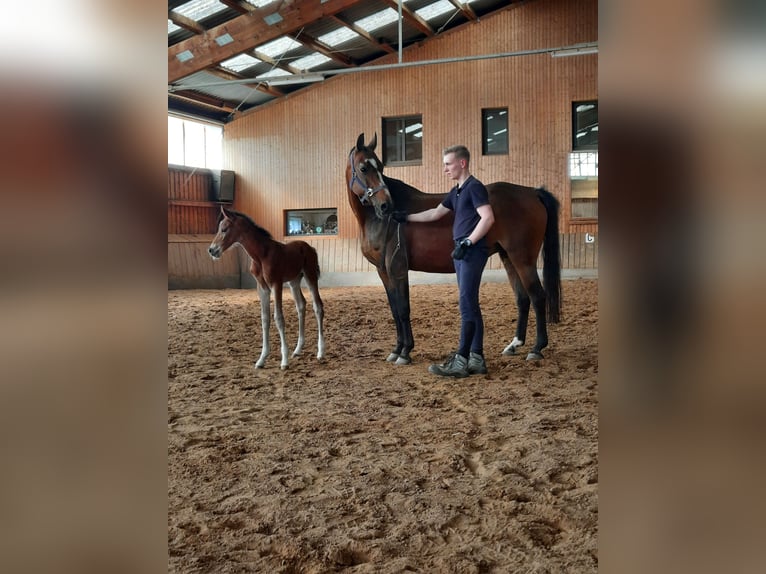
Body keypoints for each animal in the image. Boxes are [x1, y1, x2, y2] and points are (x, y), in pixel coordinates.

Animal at [210, 206, 328, 368]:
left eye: (224, 229)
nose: (212, 250)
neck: (261, 255)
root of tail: (309, 247)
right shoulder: (262, 288)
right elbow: (265, 319)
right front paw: (261, 359)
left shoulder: (276, 284)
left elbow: (278, 318)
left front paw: (284, 361)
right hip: (294, 281)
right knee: (301, 305)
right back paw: (297, 350)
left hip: (310, 276)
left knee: (318, 307)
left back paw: (320, 352)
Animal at [350, 134, 564, 364]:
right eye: (363, 168)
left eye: (380, 167)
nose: (386, 206)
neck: (381, 220)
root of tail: (532, 192)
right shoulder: (383, 271)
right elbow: (395, 311)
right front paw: (396, 349)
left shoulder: (397, 269)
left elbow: (404, 309)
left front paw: (405, 352)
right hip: (508, 257)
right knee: (522, 299)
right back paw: (514, 345)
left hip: (523, 259)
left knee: (538, 296)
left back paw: (537, 348)